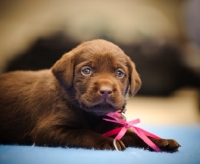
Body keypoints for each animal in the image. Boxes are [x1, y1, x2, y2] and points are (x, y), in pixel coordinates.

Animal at [0, 39, 180, 152]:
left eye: (120, 73)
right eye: (86, 71)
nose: (106, 90)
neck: (92, 115)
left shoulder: (111, 126)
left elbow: (135, 135)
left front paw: (162, 142)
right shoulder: (49, 130)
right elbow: (83, 133)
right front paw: (108, 141)